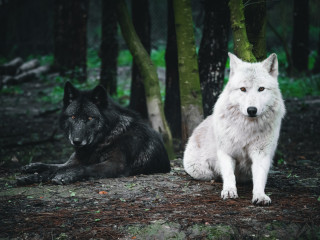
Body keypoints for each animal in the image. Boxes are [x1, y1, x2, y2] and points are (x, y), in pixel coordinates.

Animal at [18, 81, 170, 185]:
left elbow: (84, 168)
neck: (108, 136)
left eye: (90, 118)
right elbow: (55, 168)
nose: (76, 141)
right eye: (73, 117)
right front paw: (32, 175)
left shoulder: (116, 165)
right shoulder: (75, 160)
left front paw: (65, 175)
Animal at [184, 52, 286, 204]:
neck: (246, 129)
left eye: (261, 89)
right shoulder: (226, 152)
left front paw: (260, 196)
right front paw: (229, 191)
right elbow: (229, 174)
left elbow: (260, 178)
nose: (251, 110)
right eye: (243, 89)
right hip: (201, 171)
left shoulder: (261, 153)